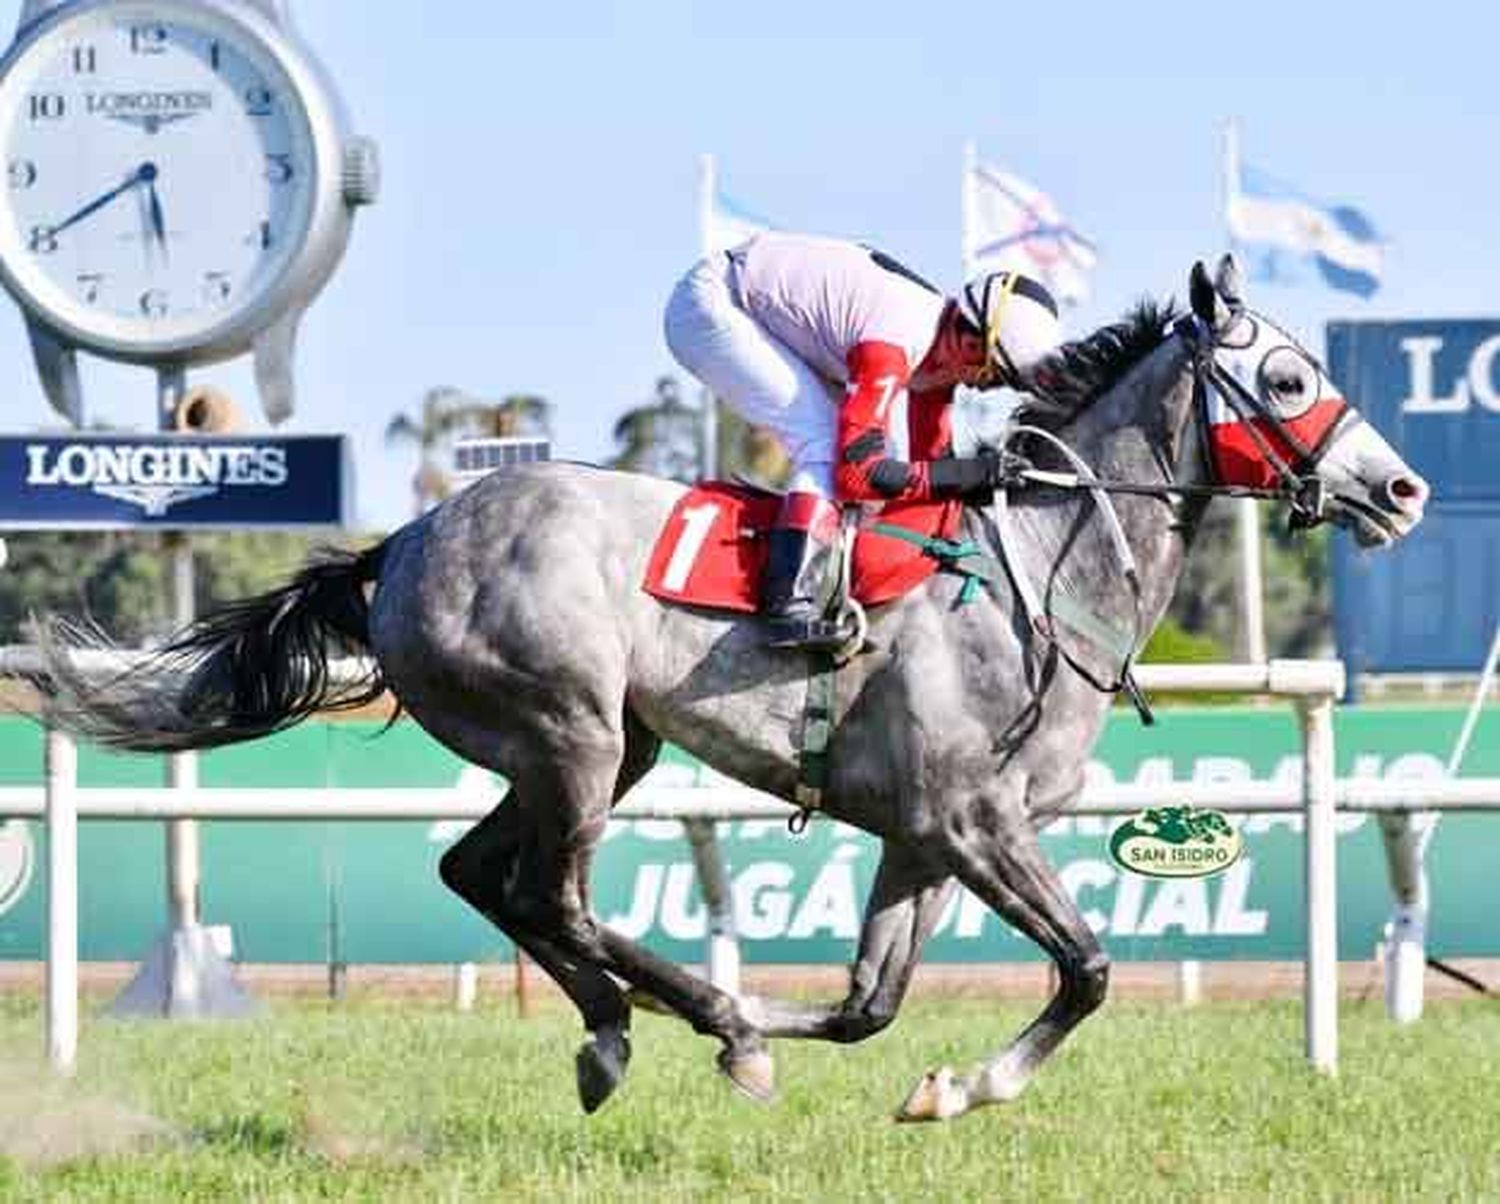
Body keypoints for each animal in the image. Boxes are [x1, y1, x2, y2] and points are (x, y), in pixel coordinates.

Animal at [41, 254, 1428, 1121]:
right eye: (1289, 378)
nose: (1404, 488)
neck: (1040, 565)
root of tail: (406, 541)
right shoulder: (975, 821)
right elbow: (1085, 967)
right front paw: (947, 1080)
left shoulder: (922, 836)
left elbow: (871, 1008)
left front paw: (901, 1073)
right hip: (571, 733)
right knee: (550, 892)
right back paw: (692, 1018)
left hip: (601, 748)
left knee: (484, 876)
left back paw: (626, 1026)